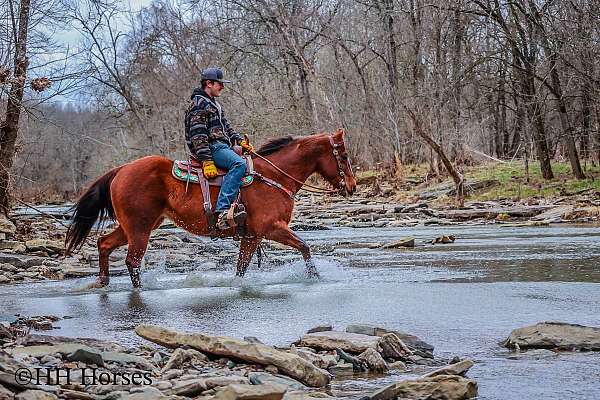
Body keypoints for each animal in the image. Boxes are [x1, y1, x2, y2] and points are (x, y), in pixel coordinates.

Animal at [65, 129, 356, 288]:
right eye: (343, 156)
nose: (352, 186)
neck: (274, 176)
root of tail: (121, 169)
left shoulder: (252, 236)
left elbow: (241, 268)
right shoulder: (272, 228)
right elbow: (305, 247)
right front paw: (315, 277)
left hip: (136, 226)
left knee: (104, 244)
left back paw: (102, 282)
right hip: (140, 228)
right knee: (132, 261)